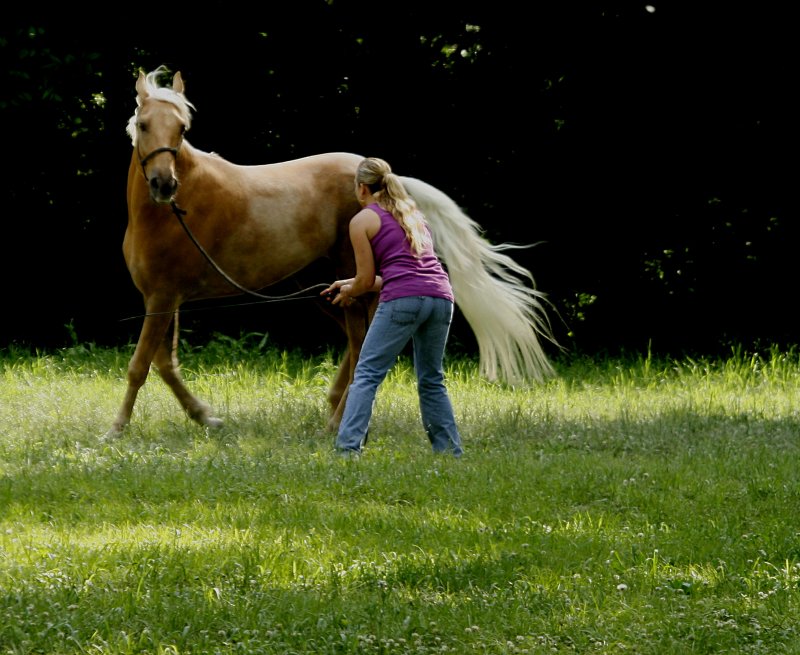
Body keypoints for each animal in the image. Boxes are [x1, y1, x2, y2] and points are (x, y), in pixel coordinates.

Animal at [104, 66, 556, 438]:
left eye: (181, 129)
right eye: (143, 124)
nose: (164, 184)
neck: (169, 212)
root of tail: (382, 178)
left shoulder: (163, 297)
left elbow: (140, 365)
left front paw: (116, 428)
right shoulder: (164, 299)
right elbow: (164, 365)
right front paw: (205, 417)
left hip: (352, 283)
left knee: (362, 343)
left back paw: (338, 420)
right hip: (326, 289)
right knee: (360, 344)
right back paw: (334, 407)